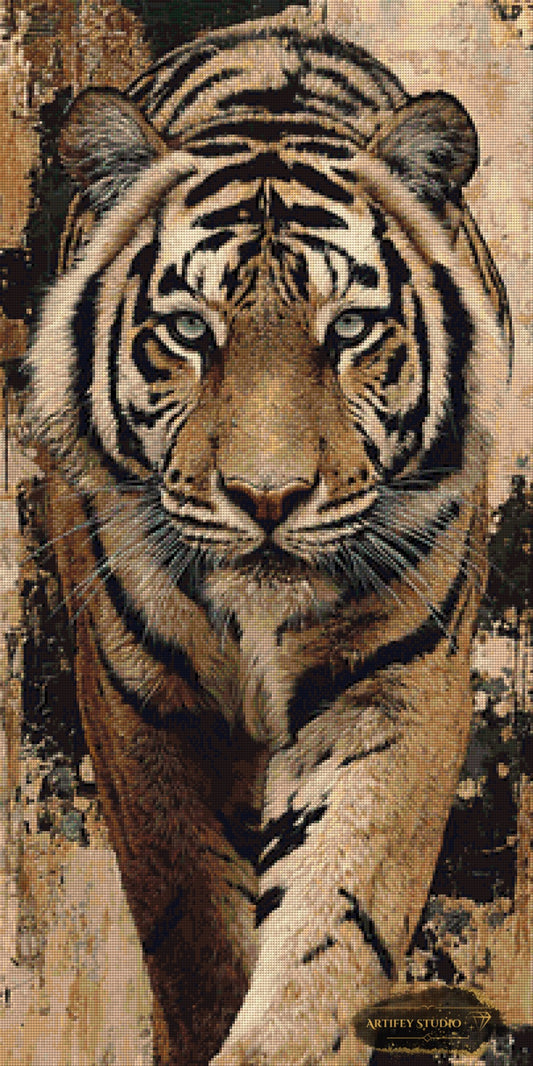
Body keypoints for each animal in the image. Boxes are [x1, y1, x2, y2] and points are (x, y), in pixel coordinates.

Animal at [23, 7, 512, 1065]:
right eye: (188, 332)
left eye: (352, 329)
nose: (268, 495)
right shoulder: (140, 696)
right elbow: (193, 924)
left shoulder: (394, 685)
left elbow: (340, 913)